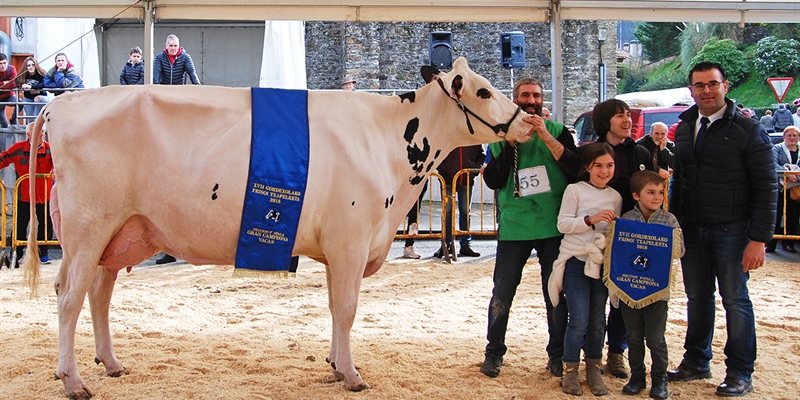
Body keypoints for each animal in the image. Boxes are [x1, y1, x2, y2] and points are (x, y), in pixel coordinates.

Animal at [25, 57, 536, 398]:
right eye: (484, 91)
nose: (529, 121)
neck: (387, 141)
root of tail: (61, 104)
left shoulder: (339, 247)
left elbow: (334, 308)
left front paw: (335, 365)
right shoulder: (350, 240)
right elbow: (347, 308)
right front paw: (352, 375)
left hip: (119, 234)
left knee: (98, 295)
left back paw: (110, 364)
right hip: (87, 228)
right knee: (69, 297)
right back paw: (73, 380)